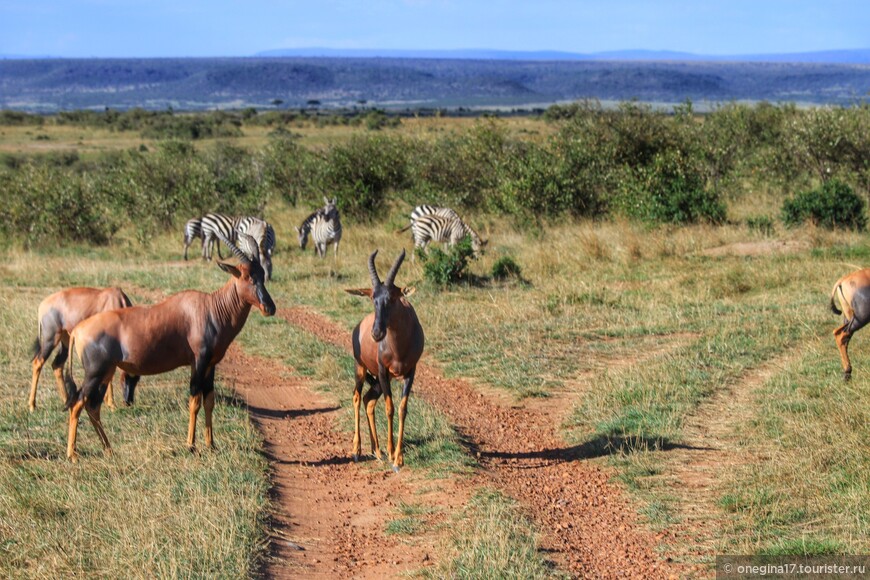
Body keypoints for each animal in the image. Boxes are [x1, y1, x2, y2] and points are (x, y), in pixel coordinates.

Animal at [63, 233, 274, 464]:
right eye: (247, 277)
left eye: (262, 275)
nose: (269, 308)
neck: (209, 308)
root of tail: (78, 330)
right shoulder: (198, 361)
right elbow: (195, 400)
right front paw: (191, 446)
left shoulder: (210, 365)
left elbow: (209, 401)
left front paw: (211, 445)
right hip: (95, 373)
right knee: (78, 404)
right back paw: (72, 455)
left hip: (105, 373)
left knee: (93, 406)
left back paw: (109, 449)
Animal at [346, 249, 424, 472]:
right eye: (373, 297)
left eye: (392, 298)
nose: (376, 333)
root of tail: (359, 326)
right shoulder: (383, 371)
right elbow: (390, 408)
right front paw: (392, 455)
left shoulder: (410, 373)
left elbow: (402, 409)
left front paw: (398, 459)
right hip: (361, 369)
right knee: (357, 397)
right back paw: (358, 451)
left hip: (380, 382)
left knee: (369, 400)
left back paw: (377, 451)